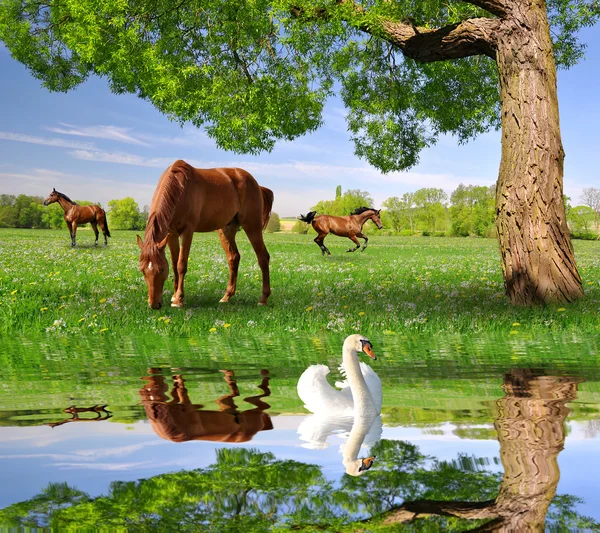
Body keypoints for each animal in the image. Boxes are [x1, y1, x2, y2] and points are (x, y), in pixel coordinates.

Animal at [137, 159, 274, 308]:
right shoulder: (171, 234)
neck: (179, 188)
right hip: (226, 230)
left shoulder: (187, 232)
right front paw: (174, 296)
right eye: (142, 270)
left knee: (263, 257)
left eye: (161, 269)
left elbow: (181, 264)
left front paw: (179, 299)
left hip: (252, 226)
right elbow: (174, 264)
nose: (154, 304)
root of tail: (256, 184)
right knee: (233, 258)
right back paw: (226, 296)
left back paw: (263, 299)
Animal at [139, 368, 274, 442]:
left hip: (251, 412)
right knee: (238, 393)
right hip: (229, 406)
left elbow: (180, 388)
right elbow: (177, 389)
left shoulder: (187, 405)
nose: (155, 369)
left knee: (263, 400)